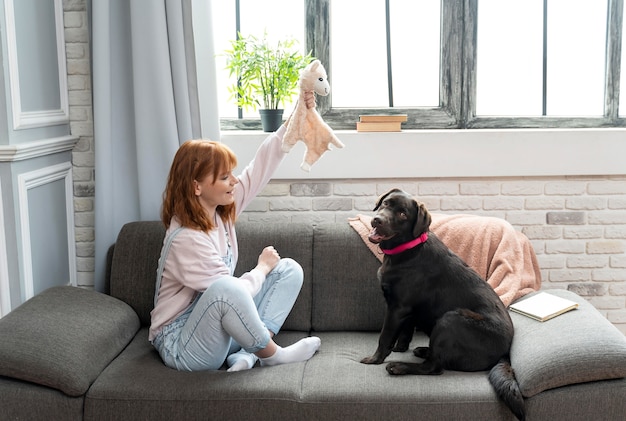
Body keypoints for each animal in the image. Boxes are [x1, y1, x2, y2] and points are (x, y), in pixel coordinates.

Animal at [358, 189, 524, 418]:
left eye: (402, 214)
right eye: (385, 203)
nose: (377, 220)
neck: (408, 248)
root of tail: (506, 352)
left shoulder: (397, 308)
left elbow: (385, 337)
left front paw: (375, 359)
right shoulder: (407, 310)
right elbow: (405, 332)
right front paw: (401, 348)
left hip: (450, 319)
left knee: (434, 367)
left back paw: (399, 367)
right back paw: (422, 351)